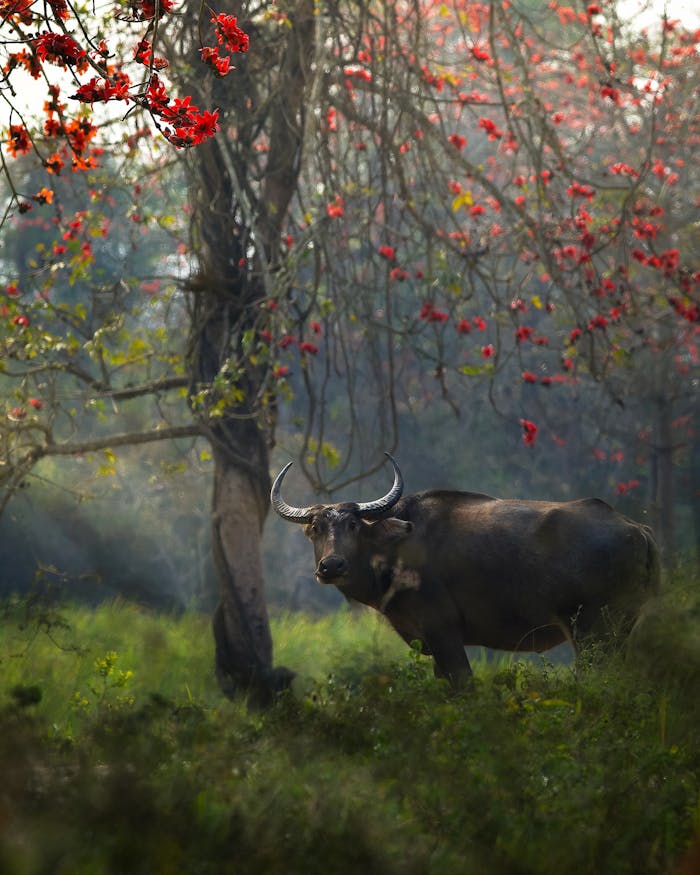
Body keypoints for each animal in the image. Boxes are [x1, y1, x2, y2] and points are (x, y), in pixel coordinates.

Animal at [271, 454, 660, 684]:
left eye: (353, 525)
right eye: (315, 528)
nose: (331, 565)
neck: (398, 548)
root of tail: (636, 529)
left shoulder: (443, 632)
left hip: (594, 631)